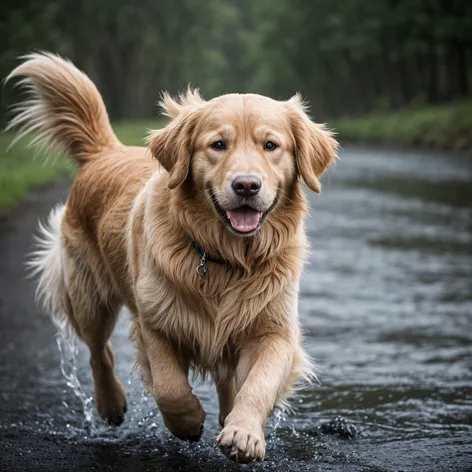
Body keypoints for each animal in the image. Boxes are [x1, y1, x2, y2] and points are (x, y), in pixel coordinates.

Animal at [7, 51, 338, 460]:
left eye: (271, 145)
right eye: (218, 144)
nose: (246, 185)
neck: (226, 257)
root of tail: (107, 150)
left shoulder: (273, 329)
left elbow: (258, 383)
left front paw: (243, 432)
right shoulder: (154, 320)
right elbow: (169, 386)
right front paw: (188, 422)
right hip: (88, 296)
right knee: (99, 351)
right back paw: (111, 404)